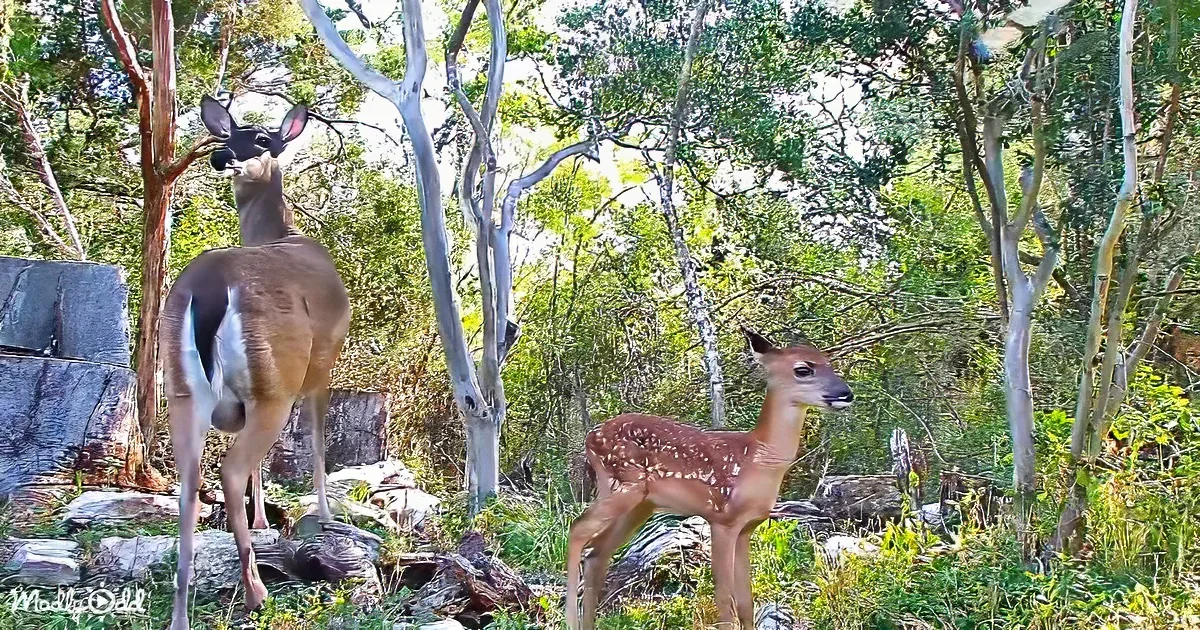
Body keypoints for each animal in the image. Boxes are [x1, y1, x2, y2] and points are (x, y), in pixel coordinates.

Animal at [162, 96, 350, 630]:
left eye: (262, 139)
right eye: (229, 136)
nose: (222, 156)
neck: (282, 234)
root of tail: (207, 291)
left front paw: (267, 519)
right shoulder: (321, 366)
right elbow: (317, 445)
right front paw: (326, 516)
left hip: (183, 391)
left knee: (189, 484)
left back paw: (182, 611)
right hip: (274, 384)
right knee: (228, 469)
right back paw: (255, 592)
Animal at [565, 329, 853, 630]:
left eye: (829, 362)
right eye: (803, 369)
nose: (846, 394)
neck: (756, 460)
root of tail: (590, 438)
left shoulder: (747, 527)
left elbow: (746, 602)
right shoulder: (721, 517)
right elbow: (725, 600)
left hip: (640, 504)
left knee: (596, 552)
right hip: (622, 486)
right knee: (577, 530)